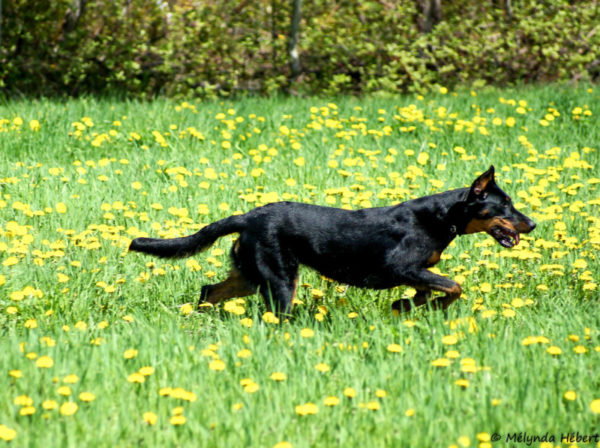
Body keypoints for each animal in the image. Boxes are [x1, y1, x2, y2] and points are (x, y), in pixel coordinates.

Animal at [130, 166, 536, 316]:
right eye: (505, 205)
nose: (532, 224)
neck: (440, 217)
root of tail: (247, 216)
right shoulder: (402, 266)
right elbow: (454, 286)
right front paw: (425, 306)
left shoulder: (417, 272)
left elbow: (432, 290)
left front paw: (406, 307)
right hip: (280, 280)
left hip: (249, 276)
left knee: (208, 291)